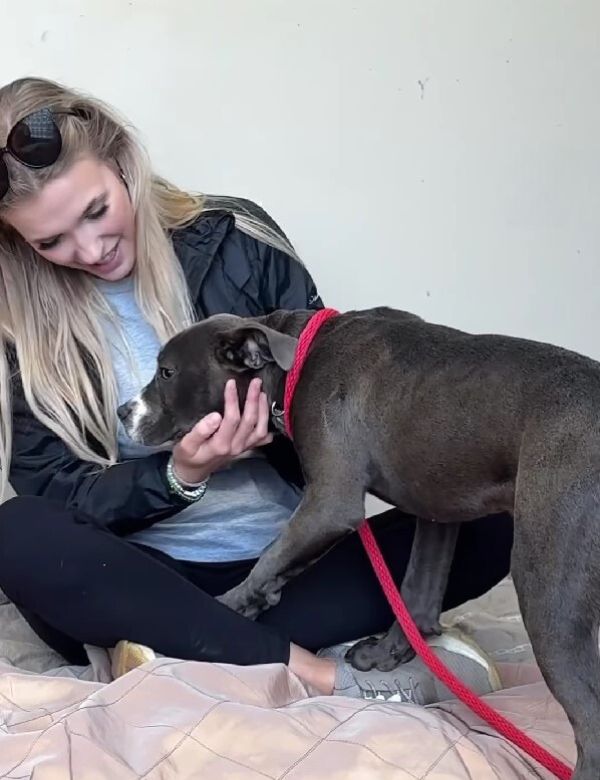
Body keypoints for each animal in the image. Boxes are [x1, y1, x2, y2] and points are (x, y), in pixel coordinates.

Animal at [119, 308, 600, 776]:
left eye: (166, 372)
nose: (123, 412)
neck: (295, 358)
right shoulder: (436, 508)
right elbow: (416, 594)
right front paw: (385, 655)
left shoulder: (330, 503)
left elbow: (271, 557)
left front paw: (229, 604)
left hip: (547, 590)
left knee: (589, 726)